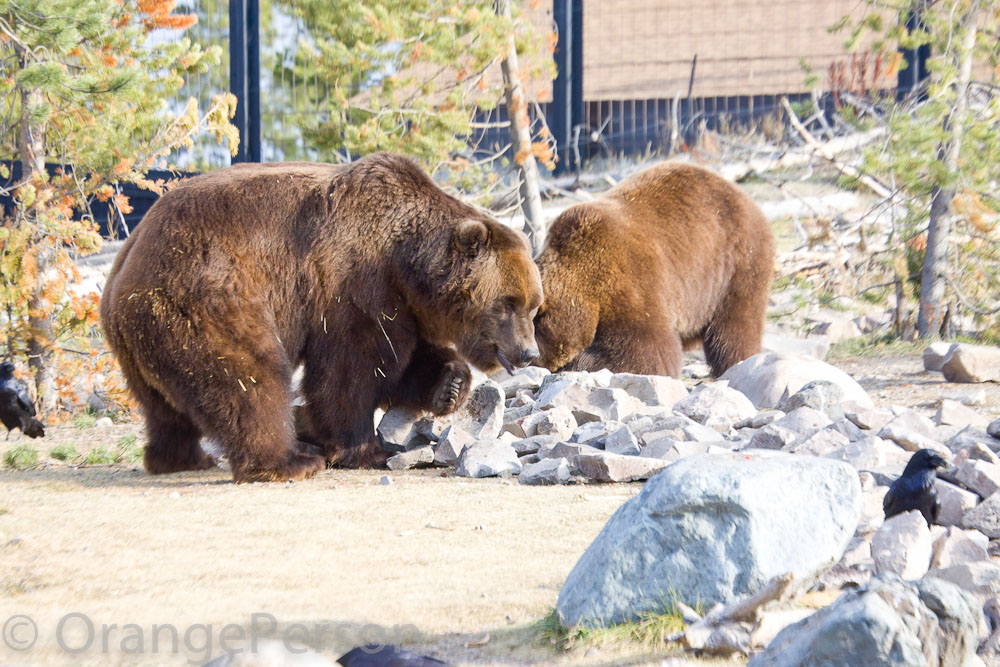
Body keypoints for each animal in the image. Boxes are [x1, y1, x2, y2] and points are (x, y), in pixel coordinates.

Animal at [100, 153, 542, 483]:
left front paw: (449, 384)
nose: (528, 353)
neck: (406, 264)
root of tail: (127, 263)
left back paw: (181, 457)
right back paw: (287, 461)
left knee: (163, 407)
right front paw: (364, 449)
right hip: (210, 296)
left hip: (146, 337)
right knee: (249, 379)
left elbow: (403, 362)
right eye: (508, 302)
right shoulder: (354, 286)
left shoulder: (400, 306)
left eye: (534, 304)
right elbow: (351, 371)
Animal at [533, 160, 774, 378]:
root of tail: (744, 196)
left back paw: (737, 361)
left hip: (736, 261)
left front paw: (580, 362)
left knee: (734, 324)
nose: (528, 359)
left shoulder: (631, 280)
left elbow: (647, 353)